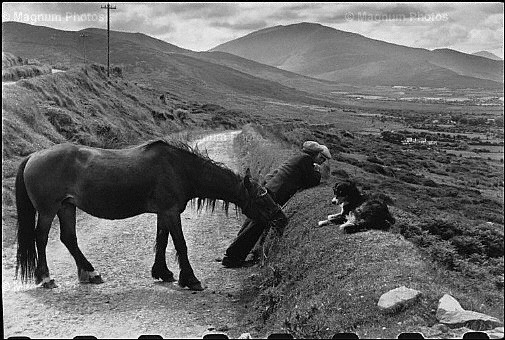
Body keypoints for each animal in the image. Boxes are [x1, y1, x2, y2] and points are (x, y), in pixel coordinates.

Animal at [14, 138, 284, 290]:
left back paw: (90, 273)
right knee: (41, 238)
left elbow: (162, 241)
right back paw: (45, 278)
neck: (179, 168)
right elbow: (180, 244)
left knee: (69, 238)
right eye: (262, 198)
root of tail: (33, 156)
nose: (282, 218)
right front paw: (191, 279)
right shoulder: (171, 212)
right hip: (48, 210)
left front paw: (163, 273)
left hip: (67, 207)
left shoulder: (164, 213)